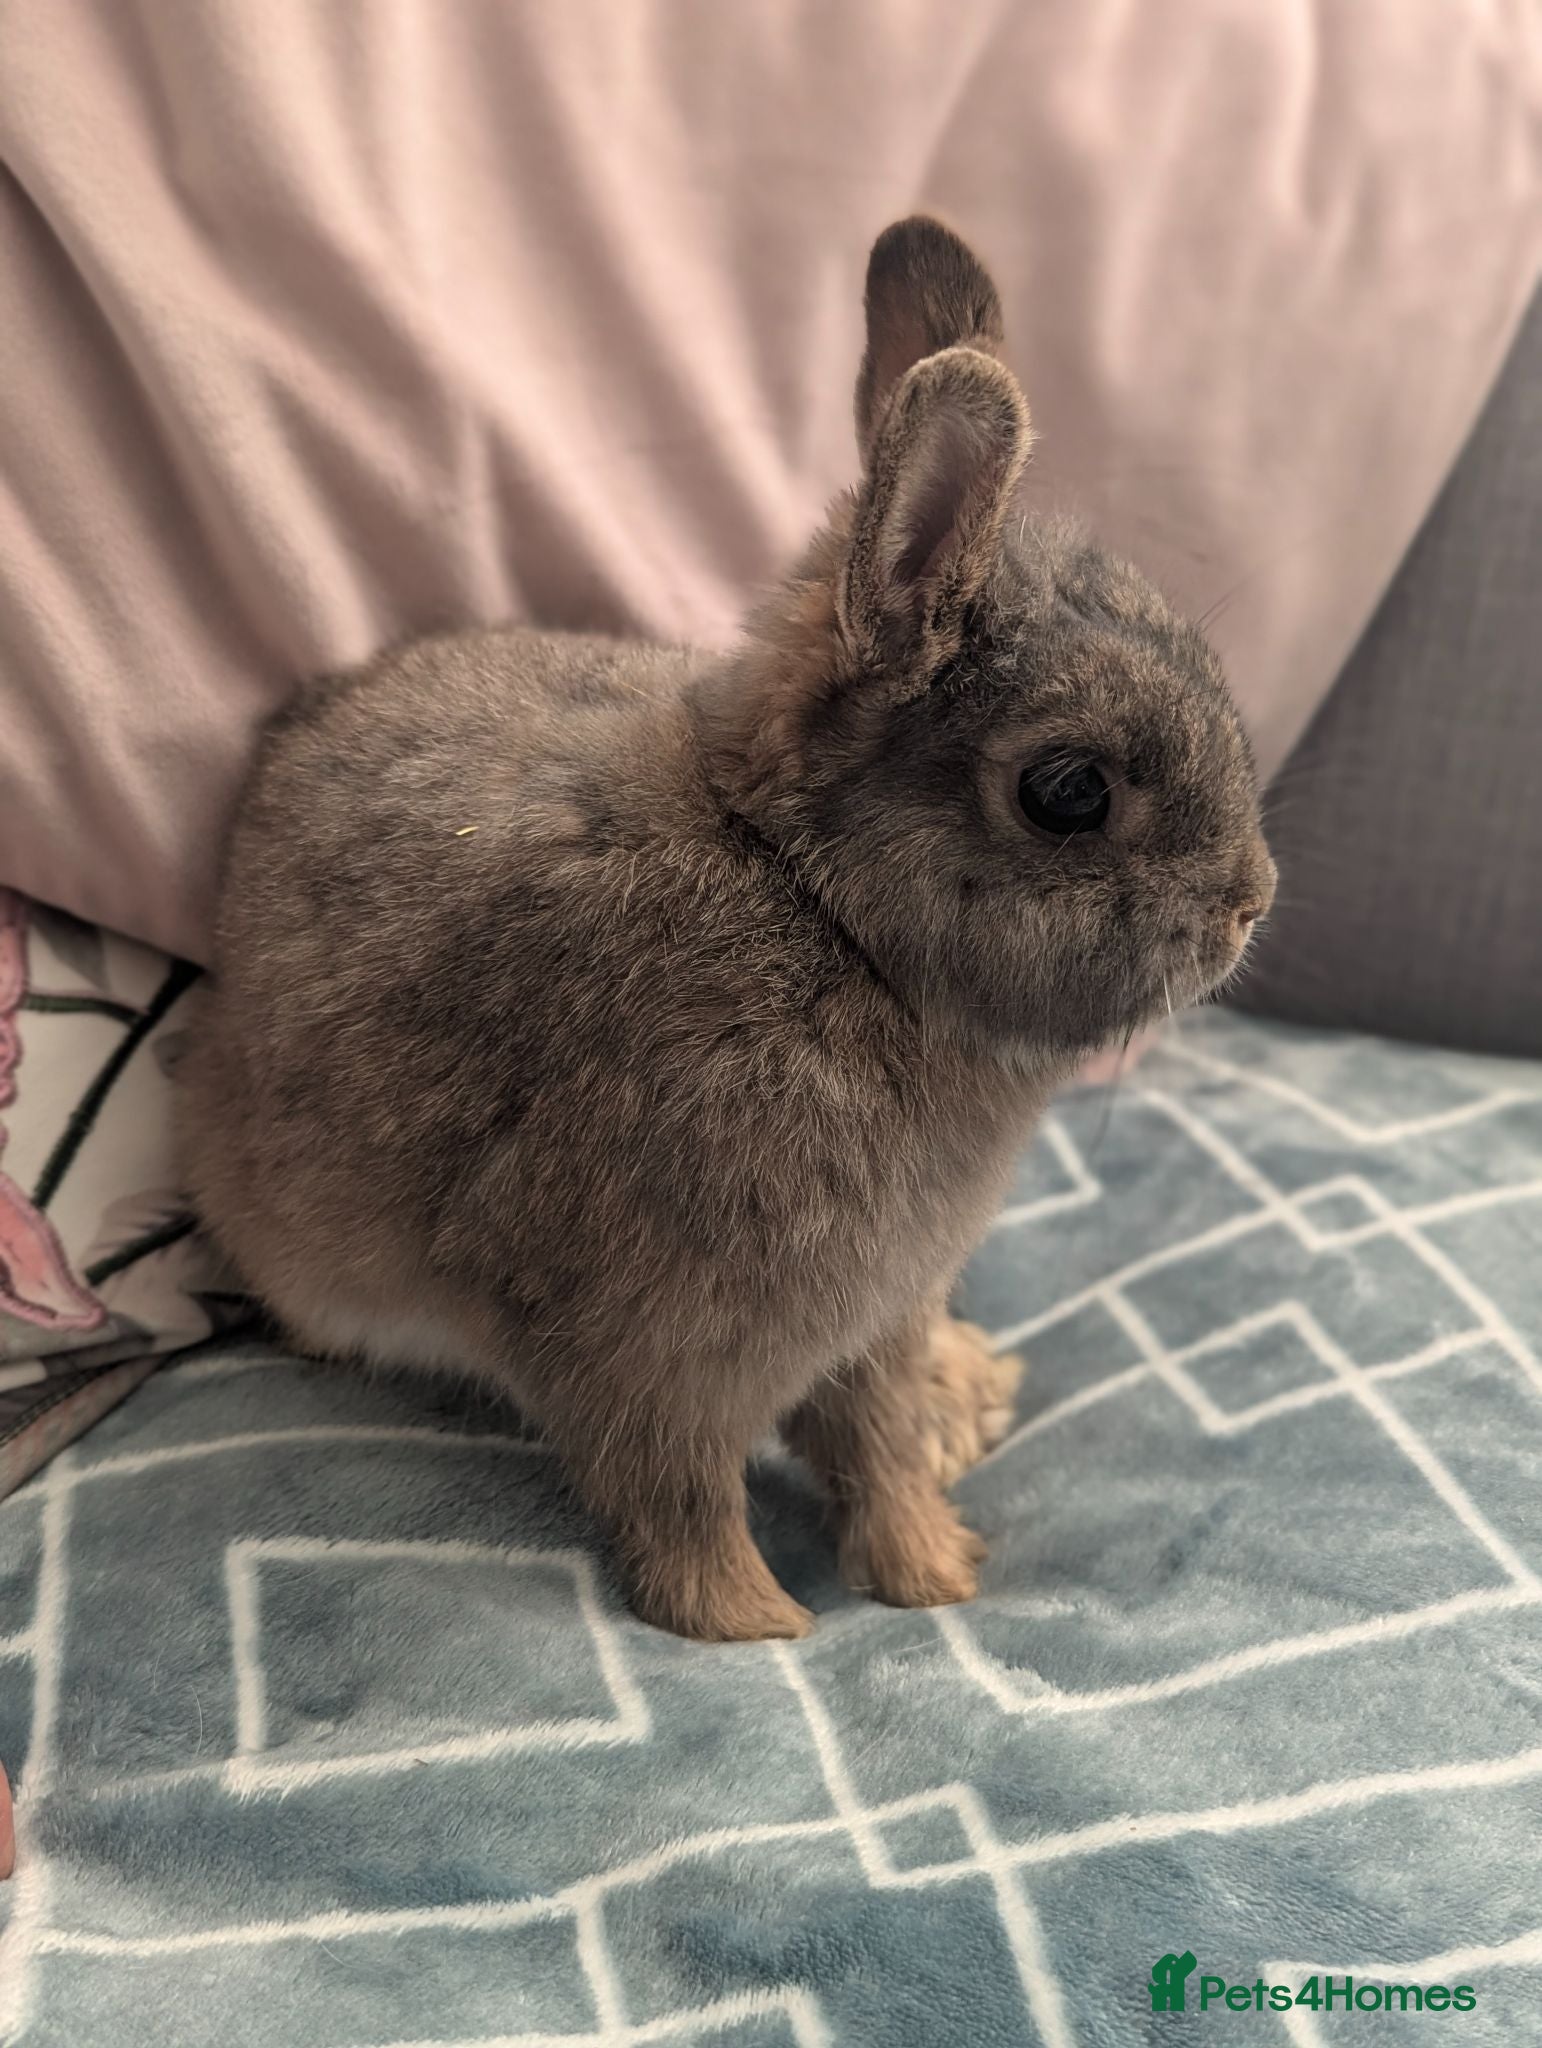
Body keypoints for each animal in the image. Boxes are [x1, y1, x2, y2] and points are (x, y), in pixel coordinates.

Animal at [179, 216, 1275, 1642]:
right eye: (1070, 790)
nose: (1252, 900)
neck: (820, 911)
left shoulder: (866, 1321)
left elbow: (875, 1447)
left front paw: (933, 1572)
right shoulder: (650, 1356)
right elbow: (682, 1501)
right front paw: (765, 1624)